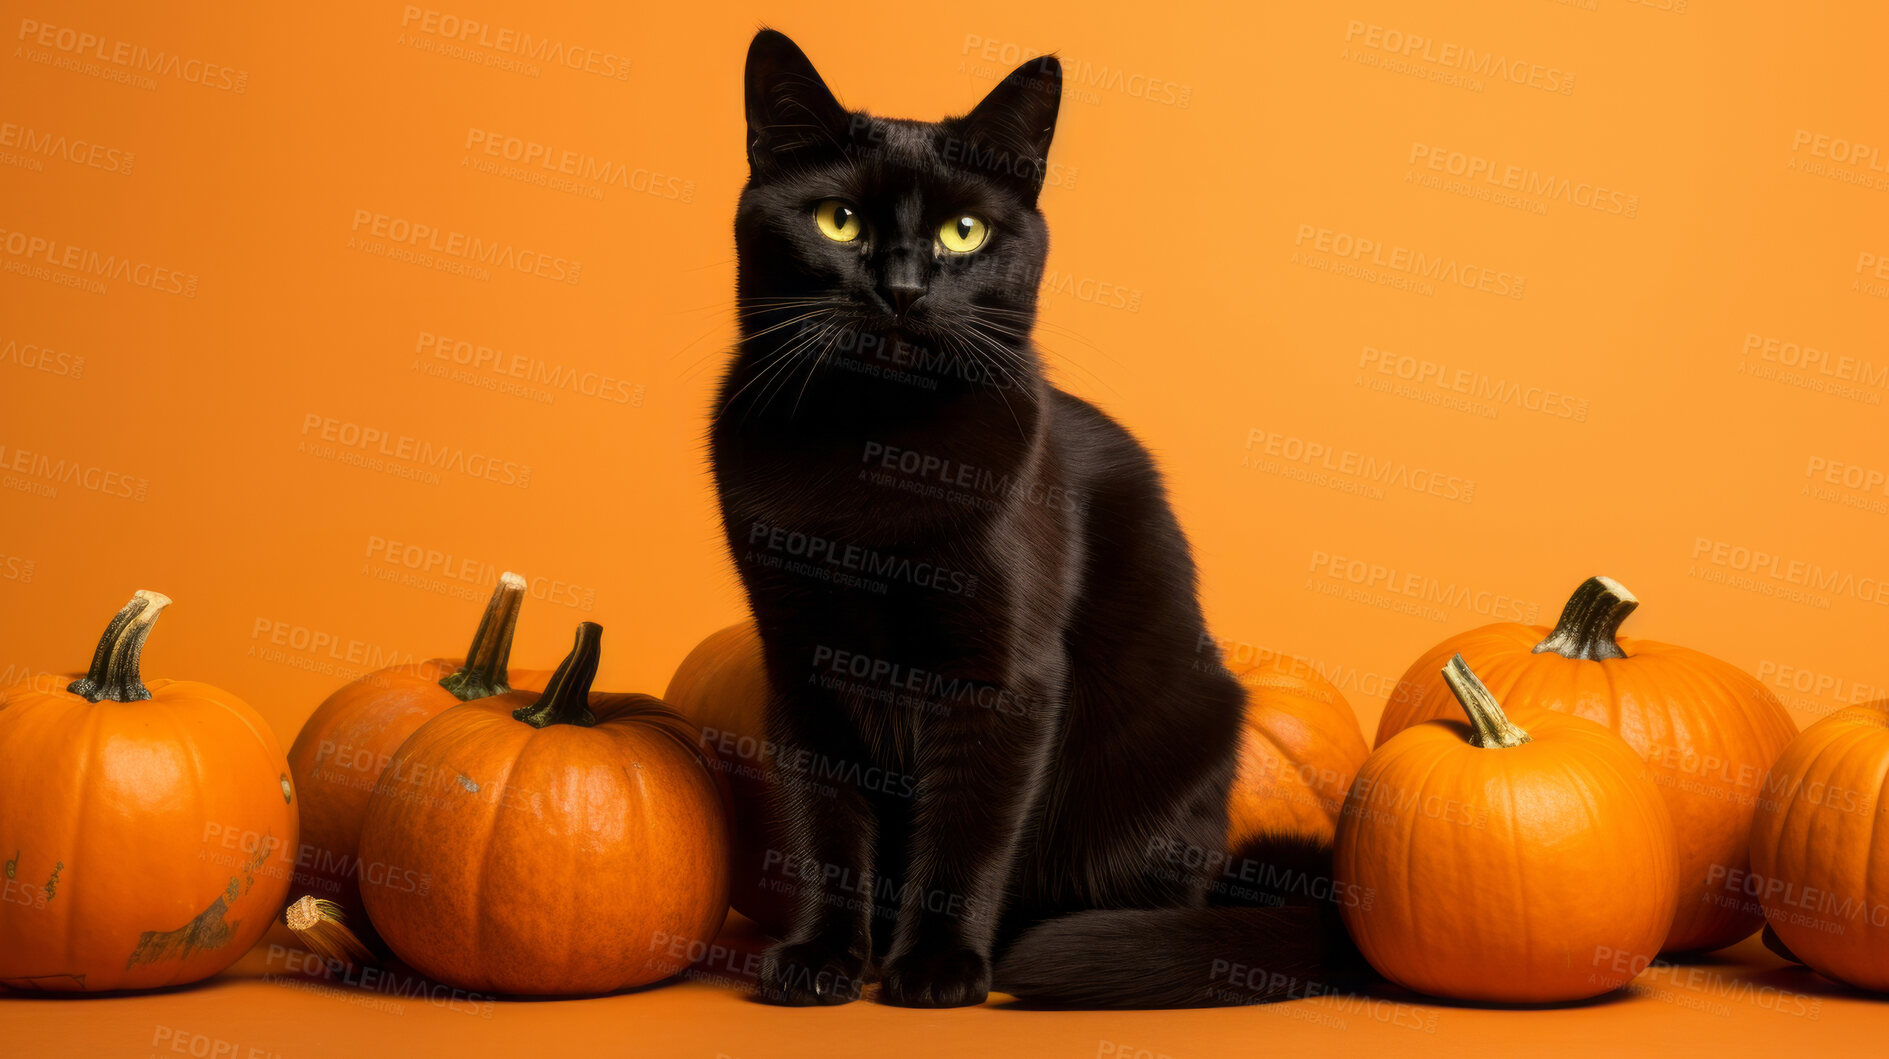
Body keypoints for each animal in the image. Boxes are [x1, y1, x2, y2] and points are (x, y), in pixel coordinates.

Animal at [710, 30, 1360, 1004]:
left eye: (963, 232)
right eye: (838, 221)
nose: (903, 287)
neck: (875, 447)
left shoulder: (1003, 676)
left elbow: (968, 826)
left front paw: (936, 966)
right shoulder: (801, 659)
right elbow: (822, 824)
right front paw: (821, 957)